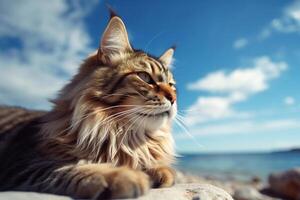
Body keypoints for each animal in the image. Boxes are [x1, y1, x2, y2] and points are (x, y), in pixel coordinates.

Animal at [0, 11, 177, 199]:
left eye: (172, 85)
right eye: (145, 78)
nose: (173, 98)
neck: (121, 135)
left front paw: (158, 170)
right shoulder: (22, 163)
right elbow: (67, 167)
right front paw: (121, 175)